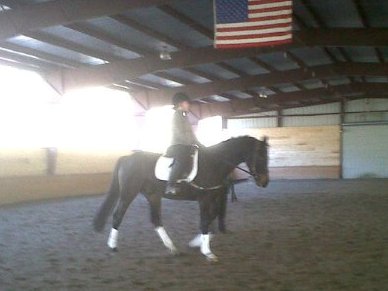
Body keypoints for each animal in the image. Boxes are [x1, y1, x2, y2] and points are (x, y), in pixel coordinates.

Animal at [94, 137, 270, 262]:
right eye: (260, 156)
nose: (264, 182)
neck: (214, 164)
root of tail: (126, 158)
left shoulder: (213, 197)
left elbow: (211, 219)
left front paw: (197, 243)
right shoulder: (204, 199)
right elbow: (205, 221)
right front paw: (208, 252)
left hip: (153, 196)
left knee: (156, 220)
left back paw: (173, 249)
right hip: (128, 193)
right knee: (118, 215)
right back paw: (113, 246)